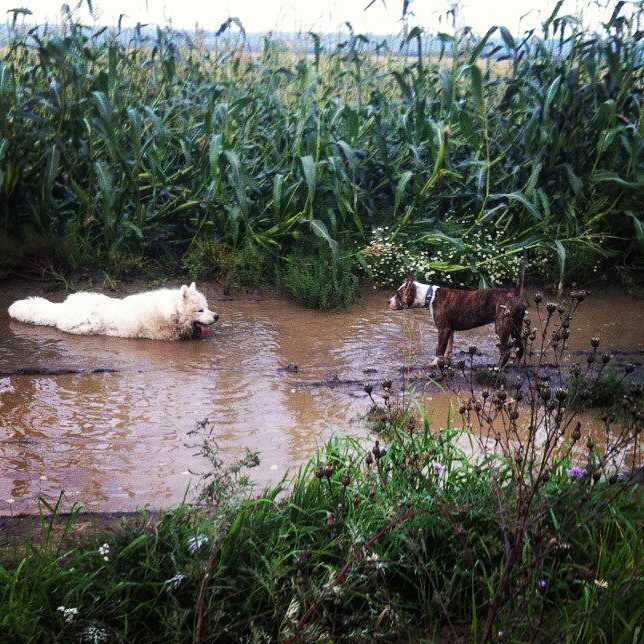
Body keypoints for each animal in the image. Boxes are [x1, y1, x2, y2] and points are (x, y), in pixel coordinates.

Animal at [8, 284, 219, 342]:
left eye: (207, 307)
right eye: (200, 310)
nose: (217, 316)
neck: (171, 311)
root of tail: (62, 306)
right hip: (89, 324)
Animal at [390, 272, 524, 368]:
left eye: (398, 294)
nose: (389, 301)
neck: (429, 296)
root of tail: (516, 296)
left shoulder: (443, 329)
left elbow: (439, 349)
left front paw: (434, 363)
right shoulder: (450, 330)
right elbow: (448, 348)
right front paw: (445, 360)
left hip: (502, 327)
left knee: (505, 351)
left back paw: (497, 368)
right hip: (516, 327)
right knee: (520, 347)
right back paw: (516, 365)